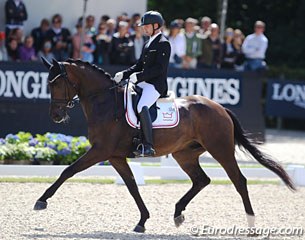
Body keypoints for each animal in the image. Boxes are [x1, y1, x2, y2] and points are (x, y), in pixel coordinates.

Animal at [33, 57, 294, 232]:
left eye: (56, 84)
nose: (55, 116)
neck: (105, 103)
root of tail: (220, 107)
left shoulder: (100, 151)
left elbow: (69, 170)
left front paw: (42, 200)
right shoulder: (115, 156)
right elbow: (132, 186)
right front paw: (142, 221)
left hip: (220, 150)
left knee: (239, 181)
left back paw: (251, 224)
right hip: (184, 154)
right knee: (201, 180)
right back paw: (178, 213)